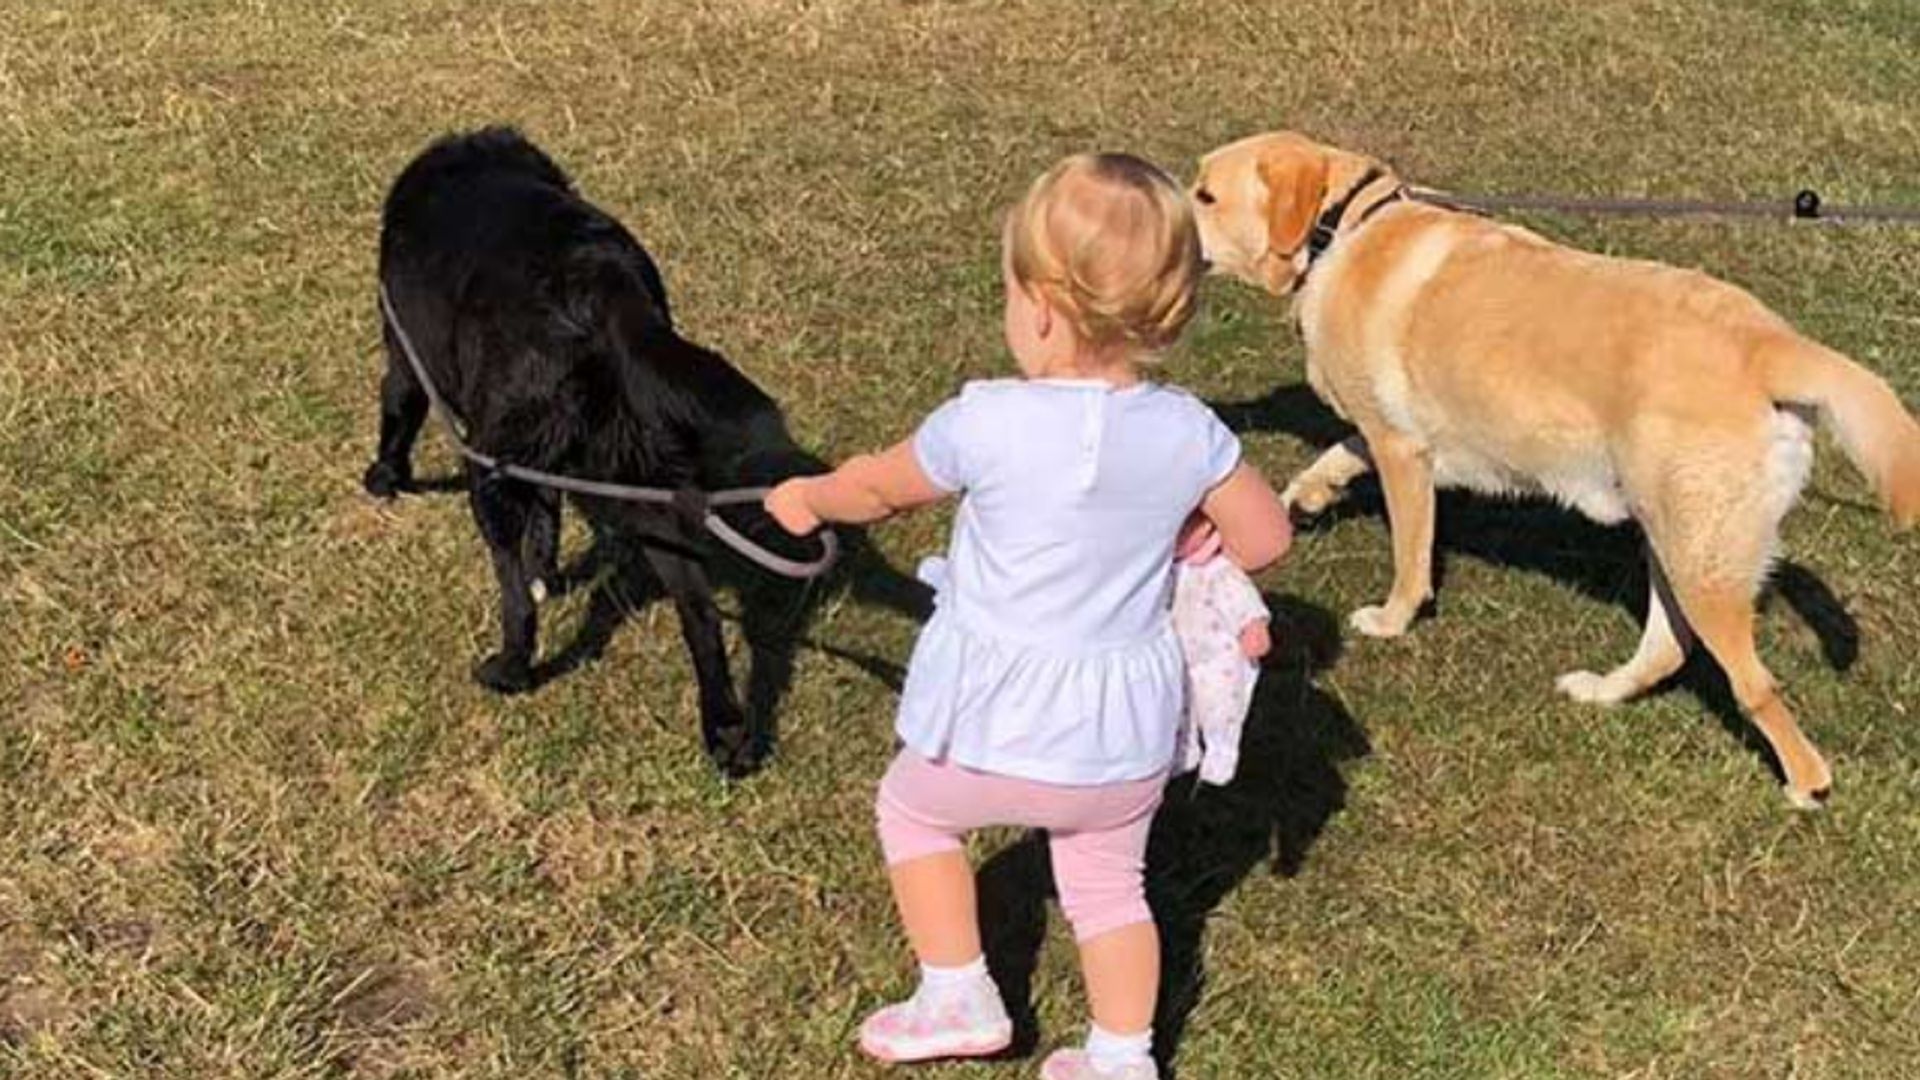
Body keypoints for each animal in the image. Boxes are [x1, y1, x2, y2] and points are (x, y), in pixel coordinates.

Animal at [366, 127, 817, 772]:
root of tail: (602, 284)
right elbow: (548, 520)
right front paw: (549, 569)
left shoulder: (405, 356)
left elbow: (397, 413)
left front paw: (383, 478)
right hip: (652, 491)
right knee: (701, 616)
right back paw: (726, 734)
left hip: (489, 467)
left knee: (516, 600)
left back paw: (509, 672)